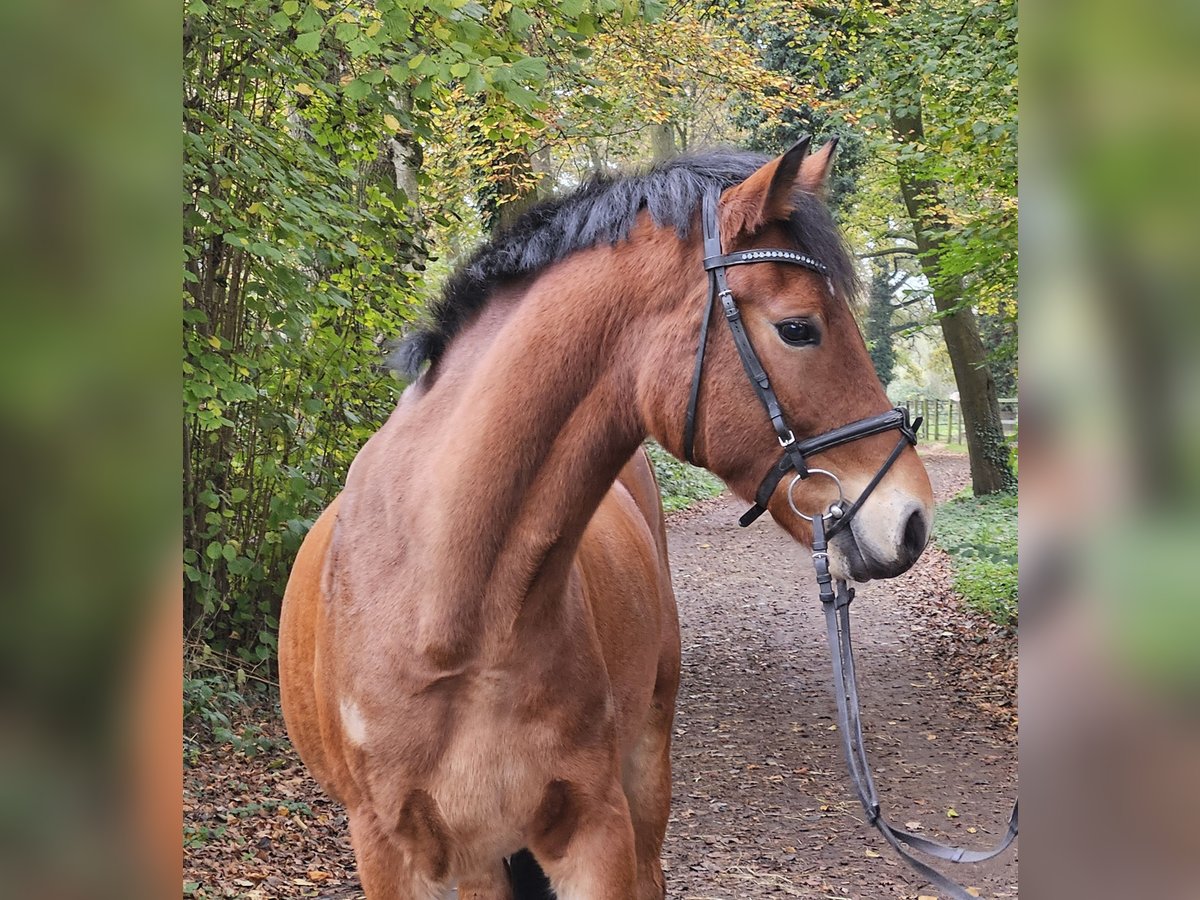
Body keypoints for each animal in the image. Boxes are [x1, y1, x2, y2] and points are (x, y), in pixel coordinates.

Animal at [280, 141, 936, 900]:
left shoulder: (595, 828)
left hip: (645, 765)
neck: (450, 616)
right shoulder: (393, 854)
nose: (912, 519)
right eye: (799, 329)